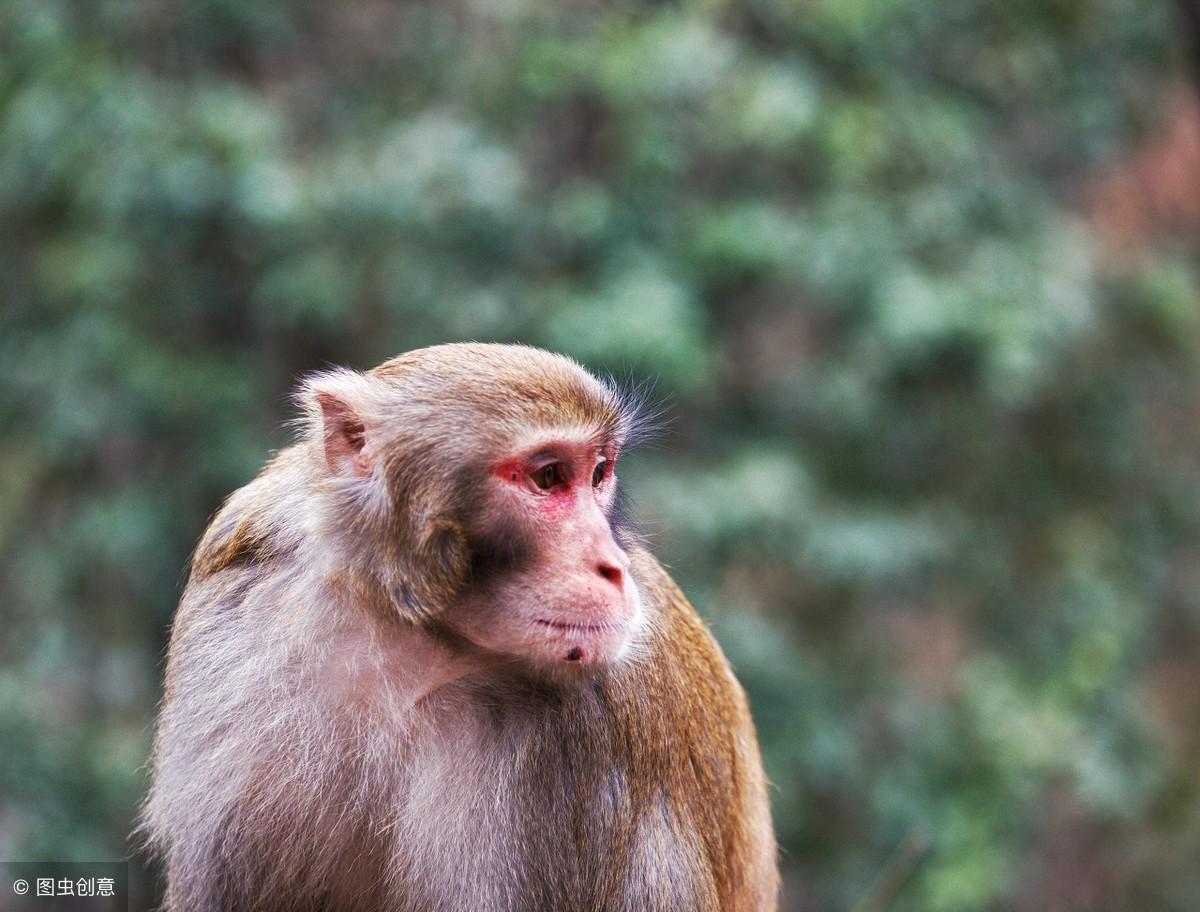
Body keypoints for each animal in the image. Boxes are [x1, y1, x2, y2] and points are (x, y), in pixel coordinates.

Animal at [140, 343, 777, 912]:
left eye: (599, 474)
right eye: (549, 477)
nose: (614, 567)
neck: (412, 638)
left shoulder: (592, 737)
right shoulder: (232, 616)